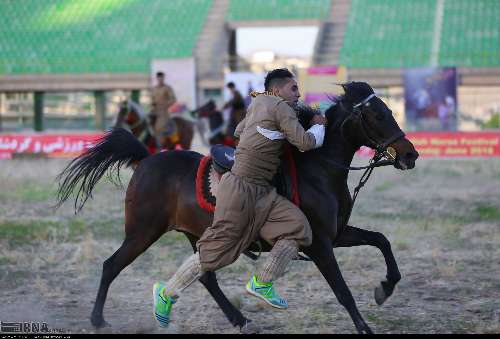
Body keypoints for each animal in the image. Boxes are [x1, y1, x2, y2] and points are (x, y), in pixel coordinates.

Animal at [56, 83, 420, 334]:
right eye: (377, 115)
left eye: (390, 111)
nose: (410, 154)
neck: (318, 168)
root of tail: (147, 158)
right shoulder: (319, 245)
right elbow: (343, 291)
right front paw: (365, 326)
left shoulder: (338, 235)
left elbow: (381, 240)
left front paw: (385, 288)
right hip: (143, 232)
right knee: (111, 265)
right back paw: (98, 319)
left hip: (198, 234)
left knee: (206, 277)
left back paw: (238, 318)